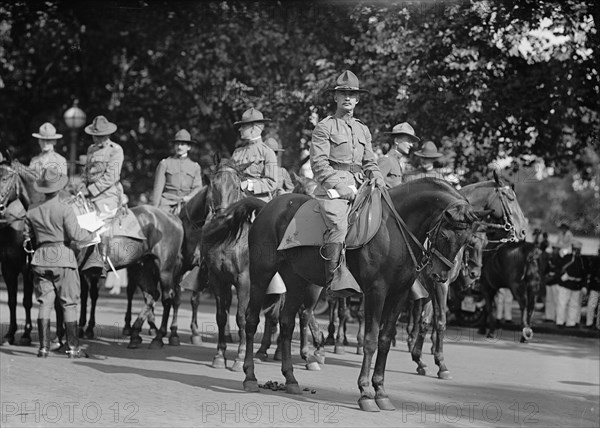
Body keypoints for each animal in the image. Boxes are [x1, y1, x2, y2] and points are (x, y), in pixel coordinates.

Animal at [241, 178, 480, 412]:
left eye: (467, 240)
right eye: (446, 235)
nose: (440, 274)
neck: (394, 230)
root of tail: (269, 206)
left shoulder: (399, 294)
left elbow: (385, 339)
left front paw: (381, 391)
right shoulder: (377, 291)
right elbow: (371, 340)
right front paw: (365, 392)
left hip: (297, 281)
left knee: (287, 323)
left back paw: (291, 379)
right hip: (262, 274)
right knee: (252, 320)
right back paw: (250, 376)